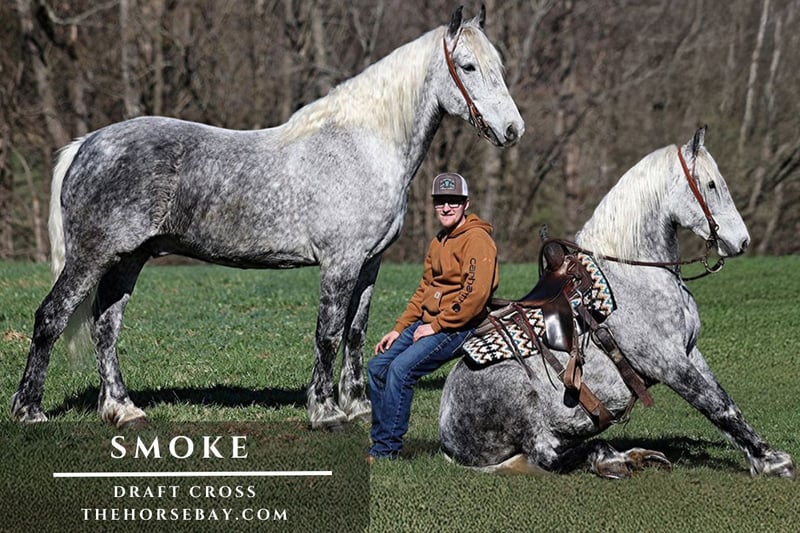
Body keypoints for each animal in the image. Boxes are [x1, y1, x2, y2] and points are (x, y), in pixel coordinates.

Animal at [11, 6, 524, 430]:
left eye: (499, 67)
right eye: (468, 66)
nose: (513, 130)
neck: (362, 146)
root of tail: (87, 145)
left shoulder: (369, 262)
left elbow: (356, 333)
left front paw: (358, 405)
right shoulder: (340, 263)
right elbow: (328, 334)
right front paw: (326, 412)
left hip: (127, 259)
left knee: (105, 328)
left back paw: (123, 409)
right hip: (93, 256)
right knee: (52, 317)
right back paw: (30, 411)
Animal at [439, 127, 796, 478]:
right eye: (710, 184)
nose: (741, 241)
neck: (635, 272)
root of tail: (447, 438)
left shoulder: (690, 352)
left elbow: (721, 398)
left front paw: (760, 455)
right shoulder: (668, 362)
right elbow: (718, 405)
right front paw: (772, 460)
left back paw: (636, 456)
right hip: (526, 410)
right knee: (547, 456)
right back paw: (615, 458)